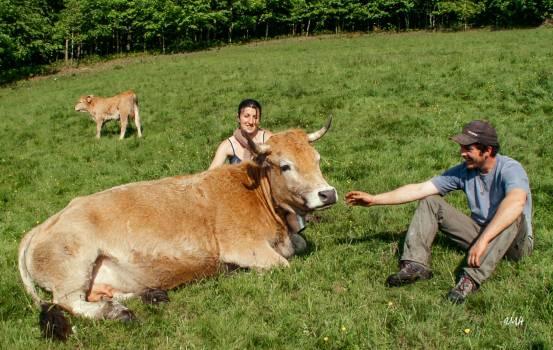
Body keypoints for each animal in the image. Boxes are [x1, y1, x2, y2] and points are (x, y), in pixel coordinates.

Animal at [17, 119, 336, 340]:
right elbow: (283, 264)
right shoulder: (243, 247)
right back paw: (117, 312)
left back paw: (148, 296)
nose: (328, 193)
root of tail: (41, 226)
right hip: (74, 266)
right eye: (285, 165)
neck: (260, 197)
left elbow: (300, 244)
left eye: (317, 159)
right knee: (69, 302)